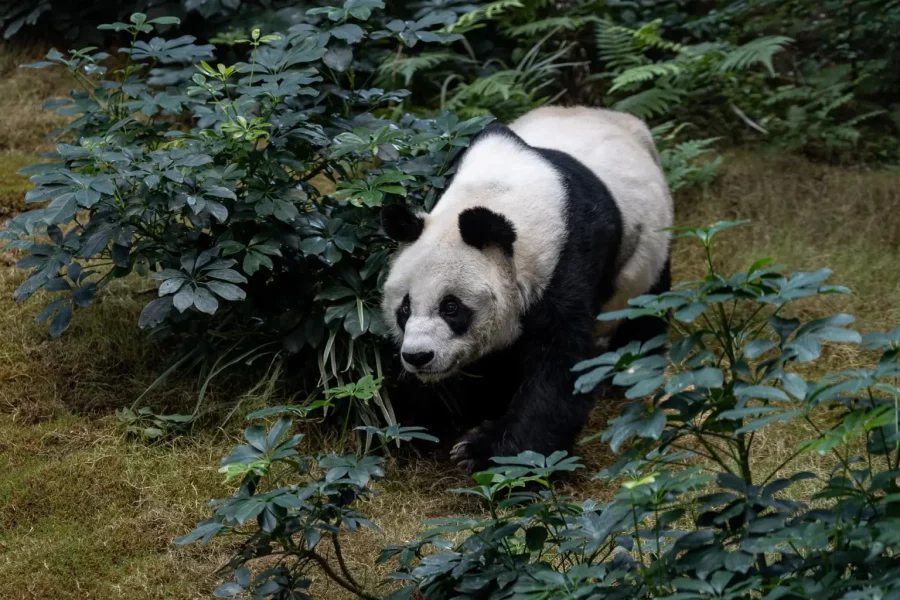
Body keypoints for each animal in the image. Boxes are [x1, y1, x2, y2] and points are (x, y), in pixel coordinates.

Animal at [380, 106, 676, 474]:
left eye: (451, 307)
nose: (418, 356)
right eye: (404, 308)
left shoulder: (571, 258)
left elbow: (559, 364)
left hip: (653, 244)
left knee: (646, 308)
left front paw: (493, 453)